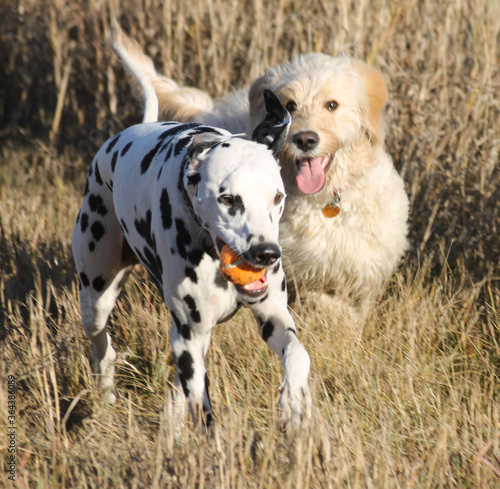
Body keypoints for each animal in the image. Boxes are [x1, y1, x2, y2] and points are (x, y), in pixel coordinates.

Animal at [72, 39, 310, 428]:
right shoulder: (189, 339)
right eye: (228, 199)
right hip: (96, 296)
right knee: (102, 347)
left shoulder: (272, 314)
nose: (266, 254)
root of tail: (131, 131)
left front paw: (294, 402)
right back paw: (106, 397)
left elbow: (298, 353)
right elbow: (205, 412)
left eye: (277, 196)